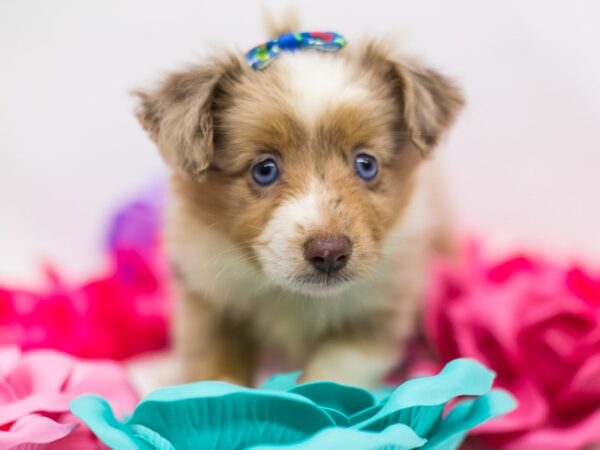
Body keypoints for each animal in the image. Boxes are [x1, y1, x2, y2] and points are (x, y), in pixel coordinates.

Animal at [136, 14, 464, 386]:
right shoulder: (207, 299)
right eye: (264, 169)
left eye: (366, 164)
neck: (296, 298)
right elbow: (215, 368)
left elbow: (335, 370)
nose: (329, 252)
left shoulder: (379, 311)